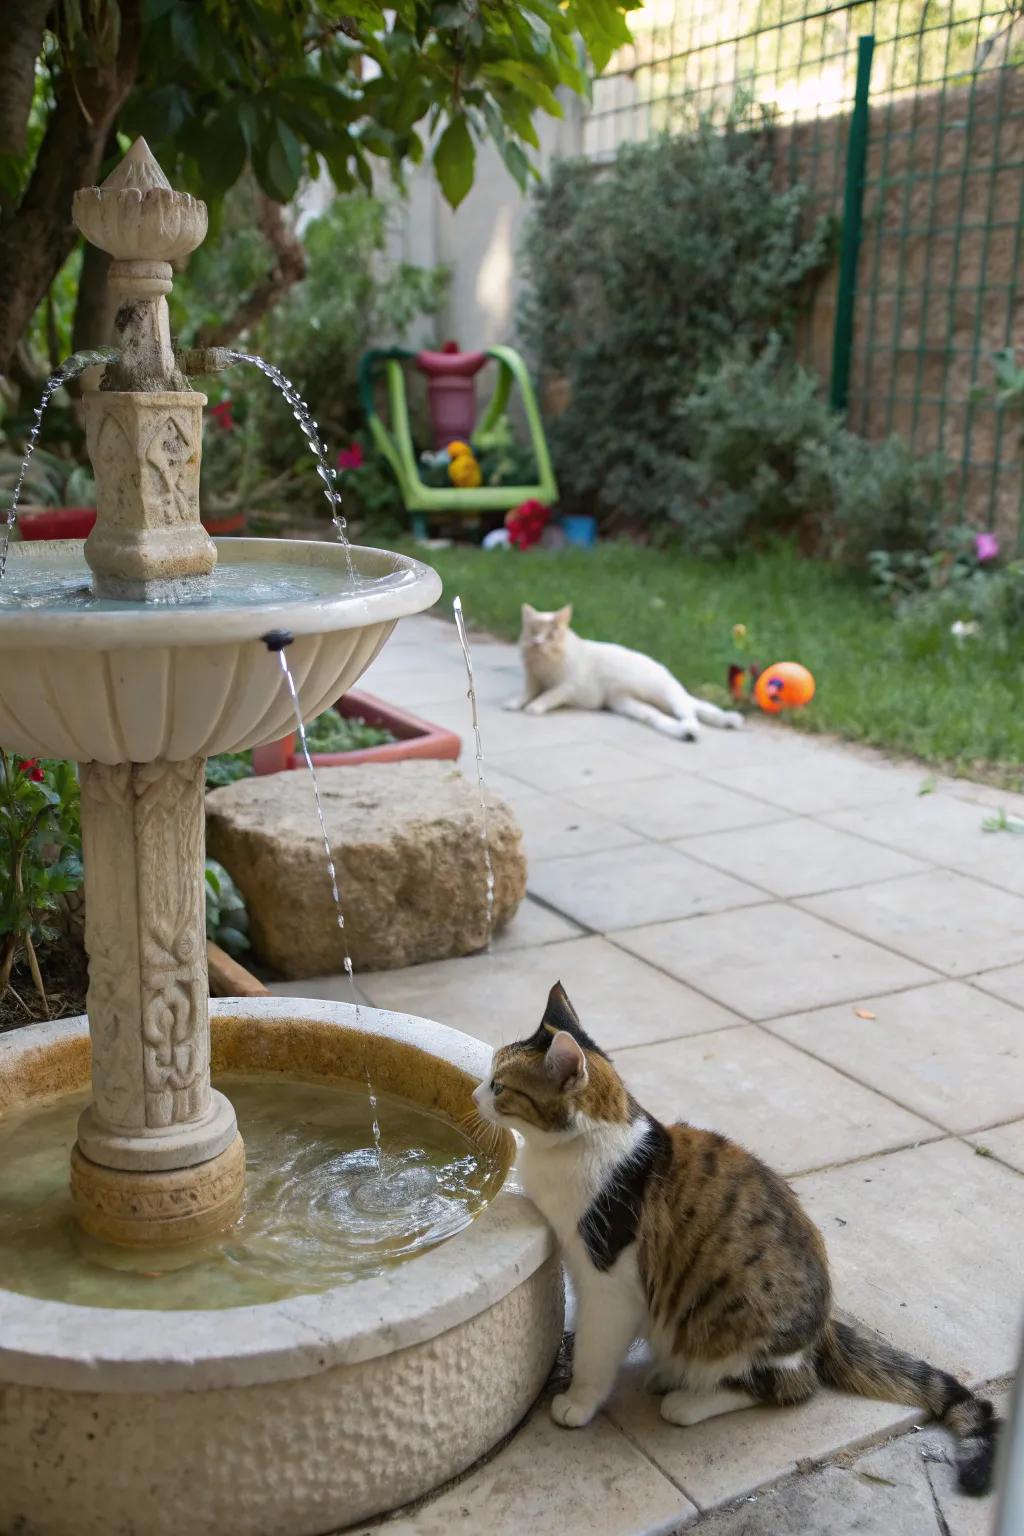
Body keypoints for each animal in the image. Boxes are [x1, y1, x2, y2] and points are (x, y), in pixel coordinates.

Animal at [472, 983, 1000, 1499]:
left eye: (500, 1085)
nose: (475, 1092)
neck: (588, 1143)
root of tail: (824, 1324)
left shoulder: (609, 1284)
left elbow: (592, 1353)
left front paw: (578, 1404)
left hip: (735, 1318)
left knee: (790, 1385)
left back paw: (688, 1401)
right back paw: (669, 1374)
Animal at [500, 602, 739, 740]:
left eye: (551, 634)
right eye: (533, 631)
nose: (538, 642)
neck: (544, 663)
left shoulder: (568, 685)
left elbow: (549, 695)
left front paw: (535, 707)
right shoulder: (532, 679)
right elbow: (527, 693)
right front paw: (515, 703)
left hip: (663, 693)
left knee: (689, 711)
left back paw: (695, 728)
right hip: (629, 705)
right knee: (661, 716)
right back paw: (688, 731)